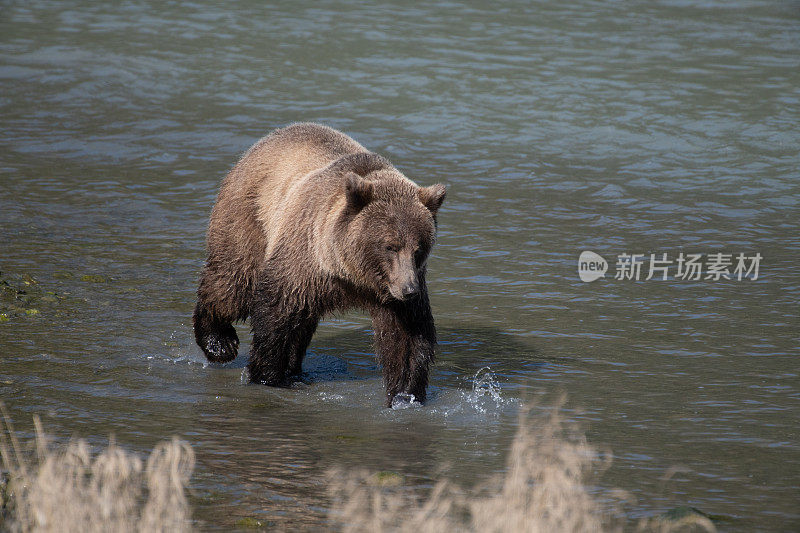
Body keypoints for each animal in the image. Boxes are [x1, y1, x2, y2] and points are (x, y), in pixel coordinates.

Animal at [191, 122, 446, 406]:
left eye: (419, 249)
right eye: (390, 246)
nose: (408, 290)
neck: (349, 274)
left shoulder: (395, 288)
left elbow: (408, 335)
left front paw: (405, 394)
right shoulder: (305, 260)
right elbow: (276, 311)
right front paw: (266, 374)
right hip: (248, 218)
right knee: (232, 281)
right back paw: (219, 342)